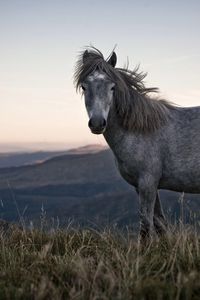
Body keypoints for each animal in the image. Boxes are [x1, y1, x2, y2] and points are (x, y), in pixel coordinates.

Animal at [74, 47, 200, 239]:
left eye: (112, 87)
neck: (140, 129)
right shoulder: (143, 186)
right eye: (84, 86)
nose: (97, 123)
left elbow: (146, 227)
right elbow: (159, 223)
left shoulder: (147, 183)